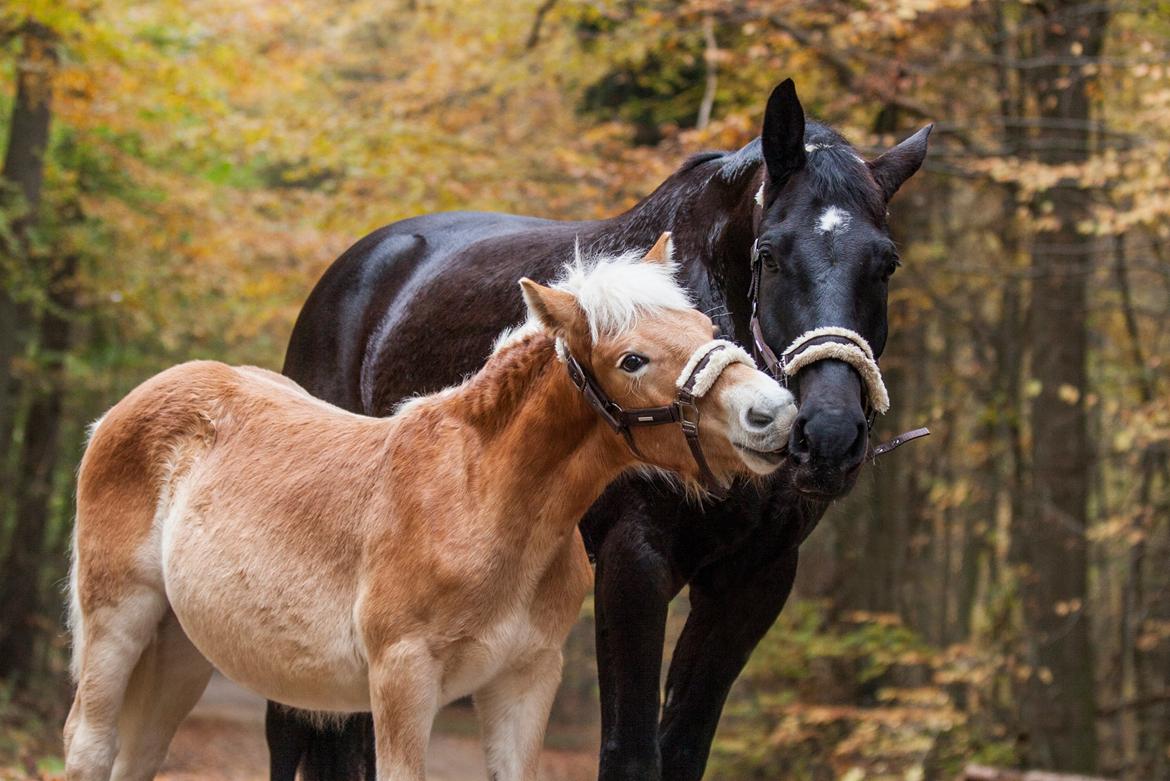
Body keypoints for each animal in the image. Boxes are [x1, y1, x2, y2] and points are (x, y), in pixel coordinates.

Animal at [66, 235, 795, 776]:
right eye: (633, 359)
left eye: (704, 323)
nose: (774, 414)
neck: (484, 500)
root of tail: (126, 408)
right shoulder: (402, 677)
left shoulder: (526, 678)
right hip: (120, 619)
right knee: (89, 743)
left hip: (181, 645)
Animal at [267, 80, 931, 781]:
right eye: (770, 255)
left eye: (886, 264)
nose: (827, 435)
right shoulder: (632, 562)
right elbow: (631, 753)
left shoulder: (753, 579)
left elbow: (683, 748)